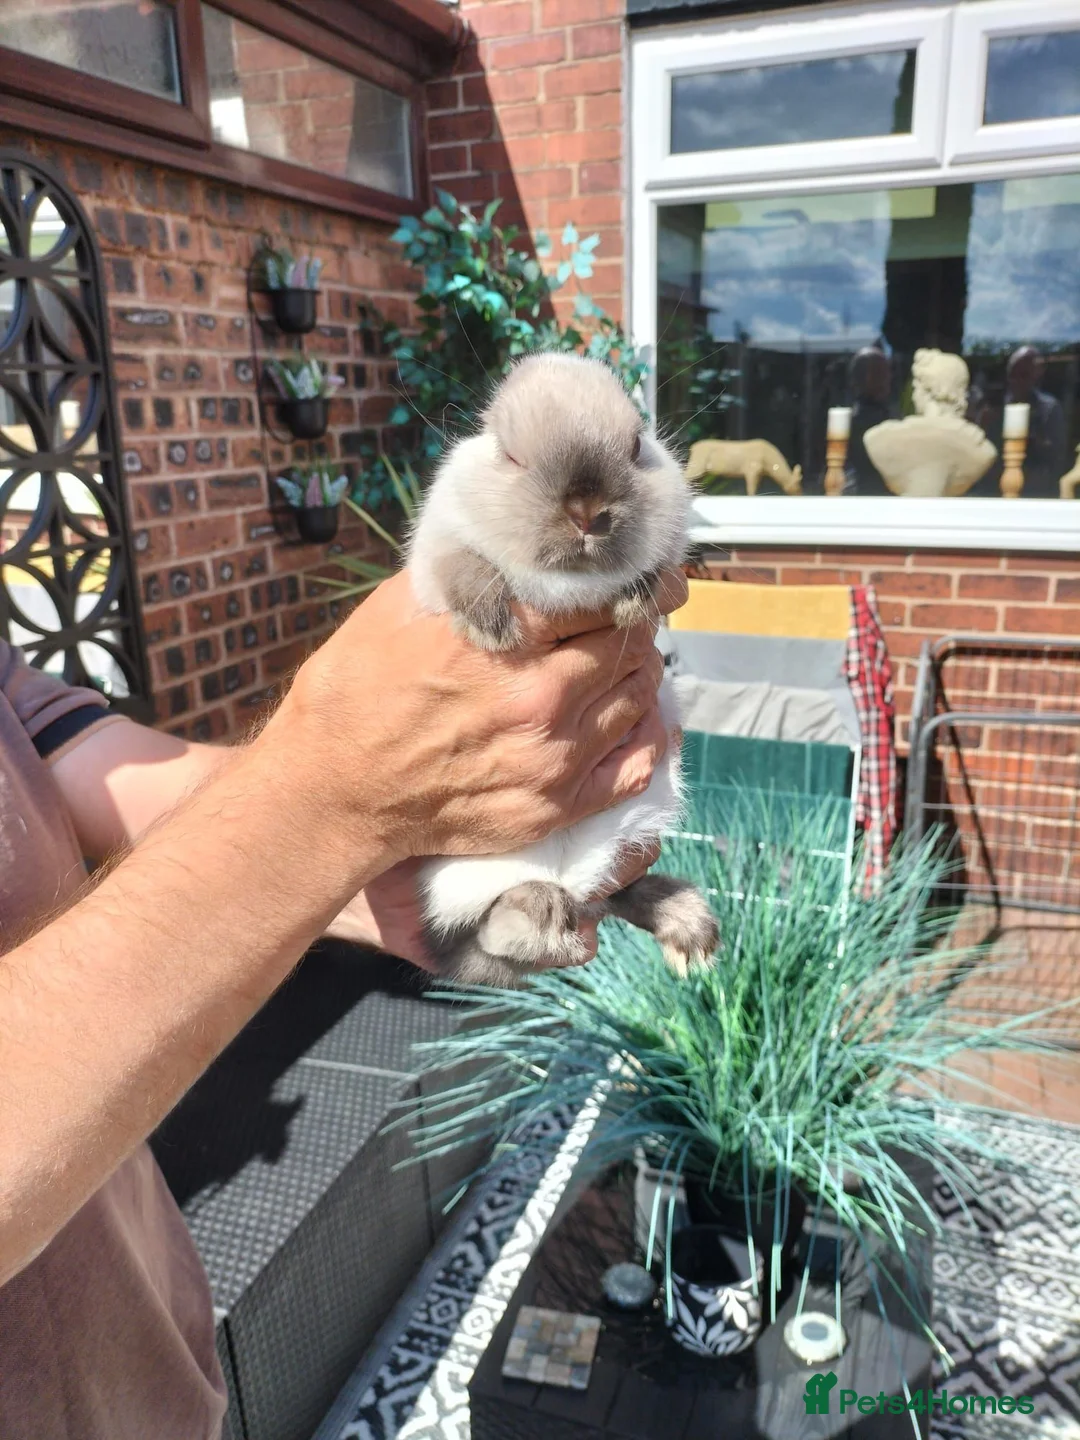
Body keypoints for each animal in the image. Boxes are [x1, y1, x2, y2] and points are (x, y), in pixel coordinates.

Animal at [407, 352, 718, 987]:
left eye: (636, 445)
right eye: (509, 455)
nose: (586, 512)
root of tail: (566, 875)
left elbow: (656, 568)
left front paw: (633, 600)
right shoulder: (436, 553)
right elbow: (462, 567)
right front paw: (493, 626)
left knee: (614, 895)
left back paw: (689, 927)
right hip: (465, 877)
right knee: (494, 933)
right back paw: (543, 914)